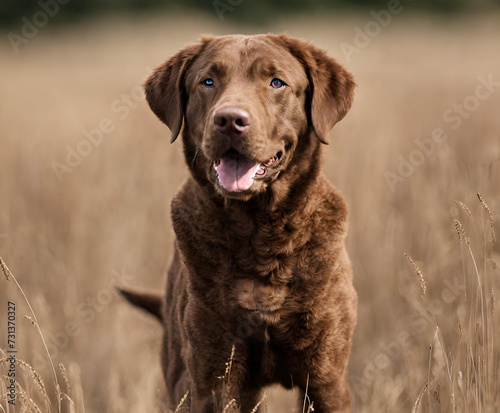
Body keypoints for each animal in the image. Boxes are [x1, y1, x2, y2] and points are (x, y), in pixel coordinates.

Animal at [120, 33, 356, 410]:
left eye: (277, 82)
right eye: (207, 82)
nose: (230, 120)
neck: (260, 234)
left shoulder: (326, 378)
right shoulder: (215, 375)